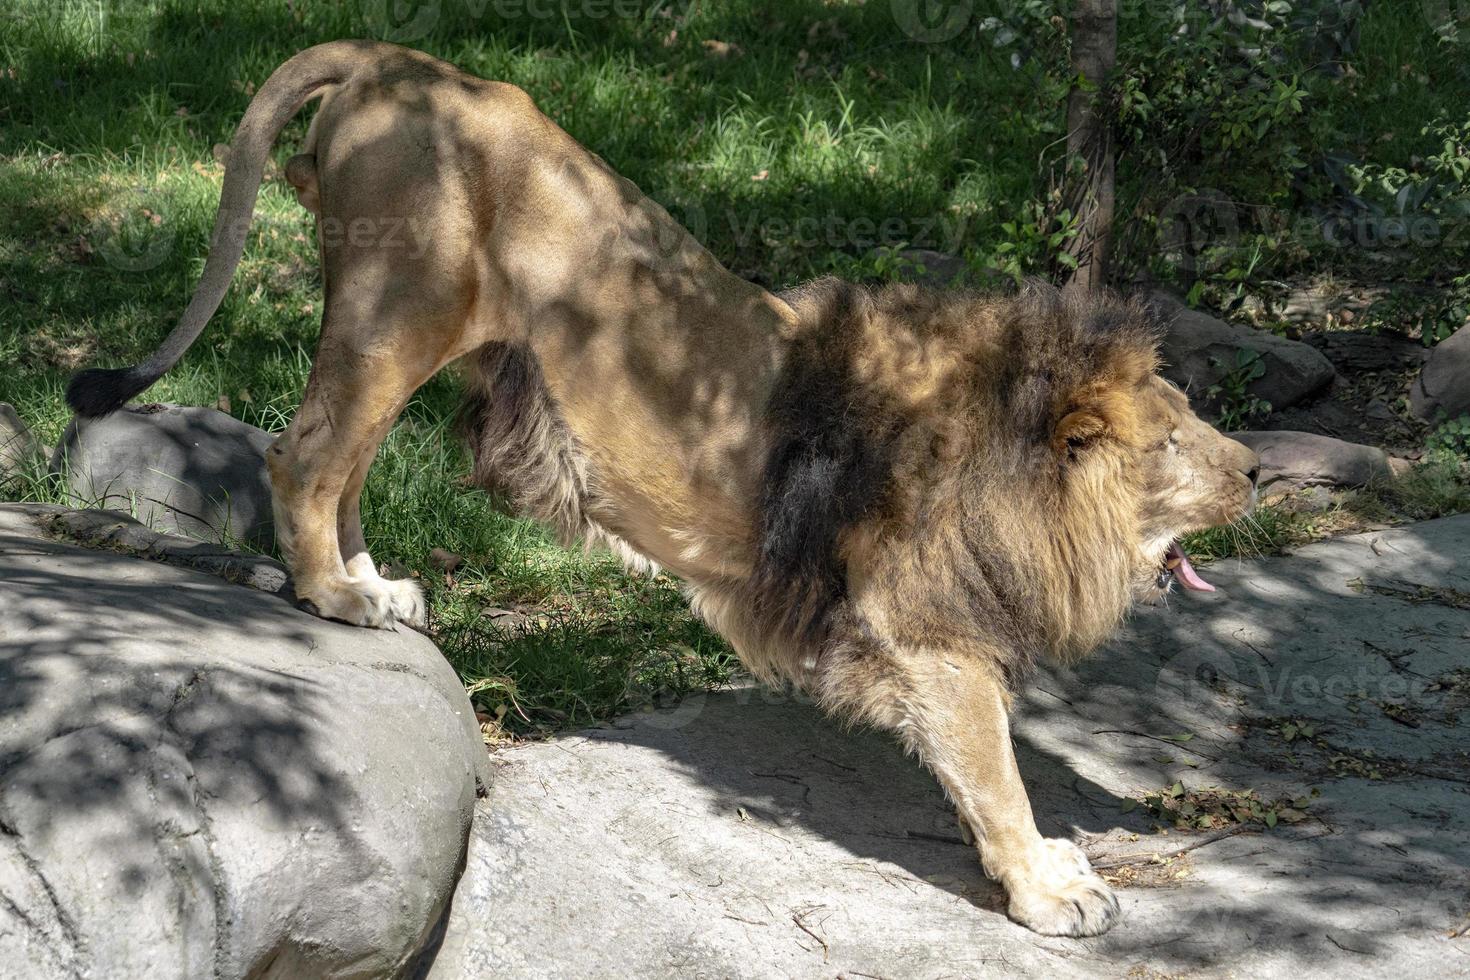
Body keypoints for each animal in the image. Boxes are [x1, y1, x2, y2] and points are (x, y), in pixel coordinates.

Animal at [71, 42, 1264, 940]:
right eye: (1172, 440)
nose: (1258, 469)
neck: (1013, 475)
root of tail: (391, 59)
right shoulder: (928, 632)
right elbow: (997, 772)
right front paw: (1050, 888)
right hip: (401, 304)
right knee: (304, 452)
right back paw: (333, 593)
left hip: (409, 326)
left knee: (343, 459)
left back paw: (376, 586)